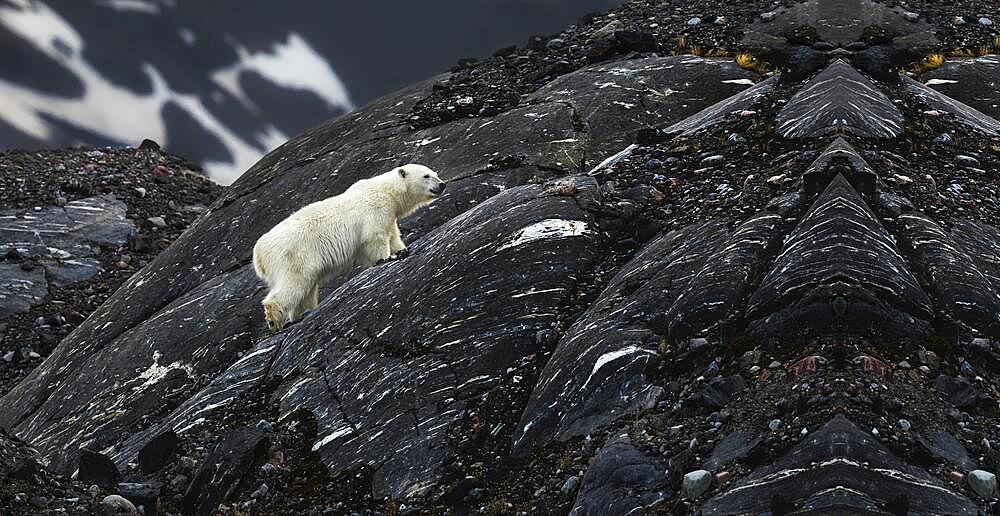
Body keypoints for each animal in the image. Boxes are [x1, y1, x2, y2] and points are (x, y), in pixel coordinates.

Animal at [254, 166, 446, 334]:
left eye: (435, 173)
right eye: (426, 175)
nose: (442, 184)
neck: (386, 191)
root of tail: (258, 254)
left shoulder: (388, 217)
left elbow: (392, 238)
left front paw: (400, 250)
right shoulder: (375, 211)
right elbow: (375, 239)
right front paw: (388, 258)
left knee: (306, 290)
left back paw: (301, 314)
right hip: (294, 255)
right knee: (295, 283)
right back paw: (274, 320)